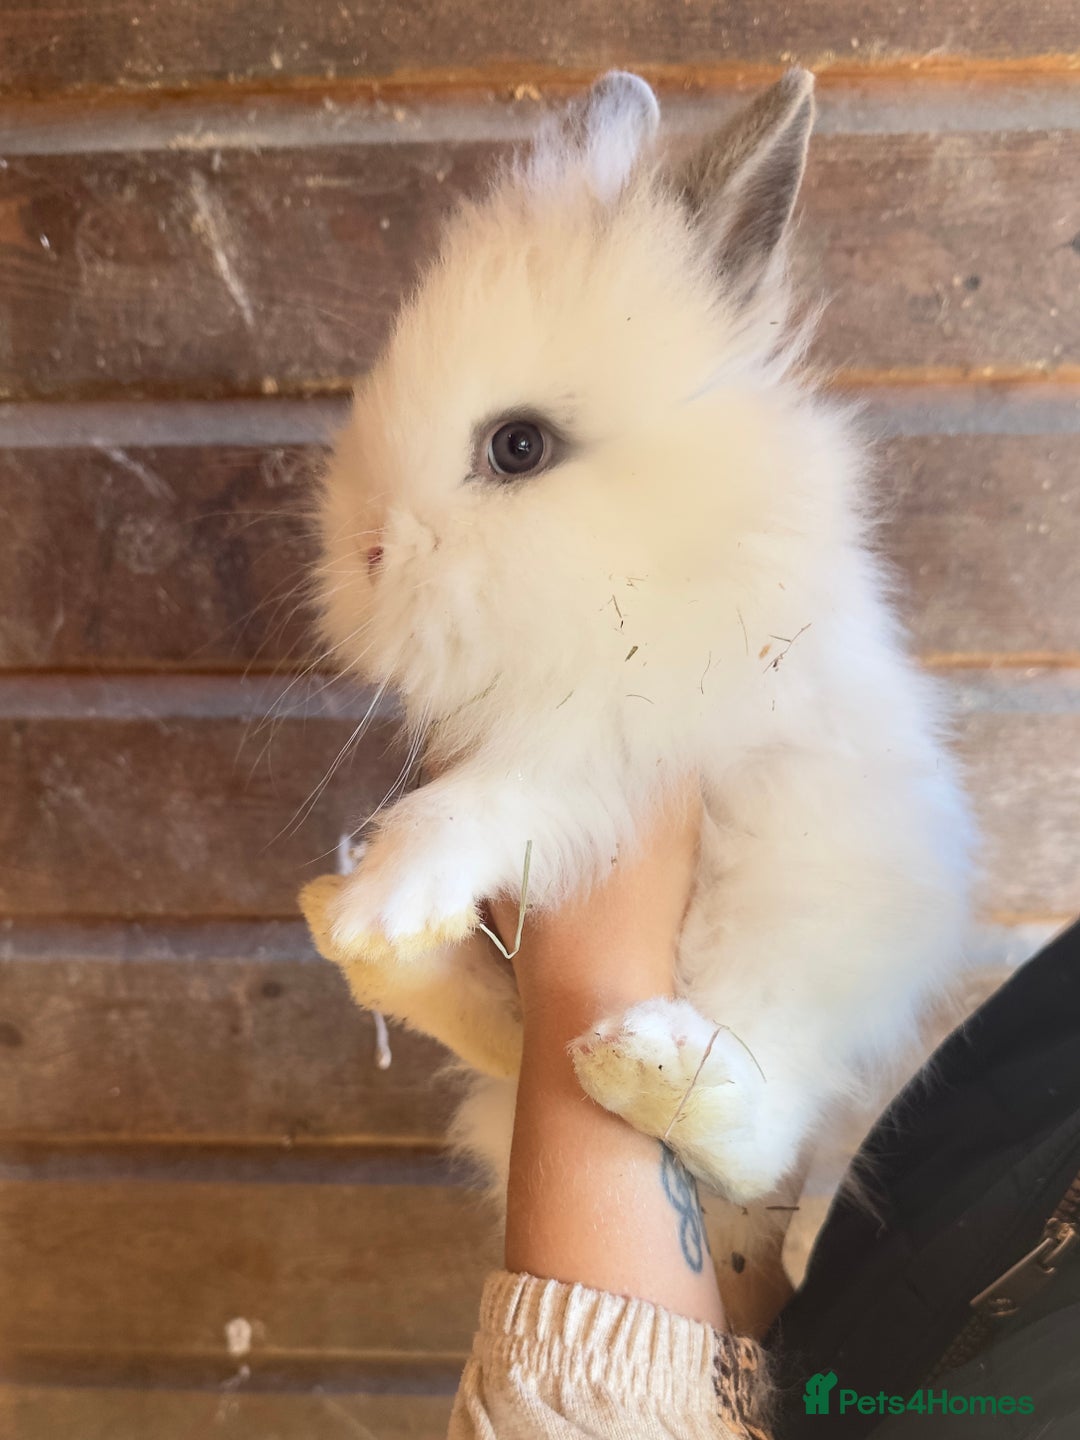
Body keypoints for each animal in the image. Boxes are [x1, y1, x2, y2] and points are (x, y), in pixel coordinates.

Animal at [301, 68, 976, 1247]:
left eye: (519, 445)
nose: (365, 556)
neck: (652, 550)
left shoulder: (625, 739)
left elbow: (493, 800)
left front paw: (388, 894)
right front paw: (373, 913)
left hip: (804, 930)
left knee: (755, 1134)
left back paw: (645, 1064)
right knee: (509, 1041)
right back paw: (376, 949)